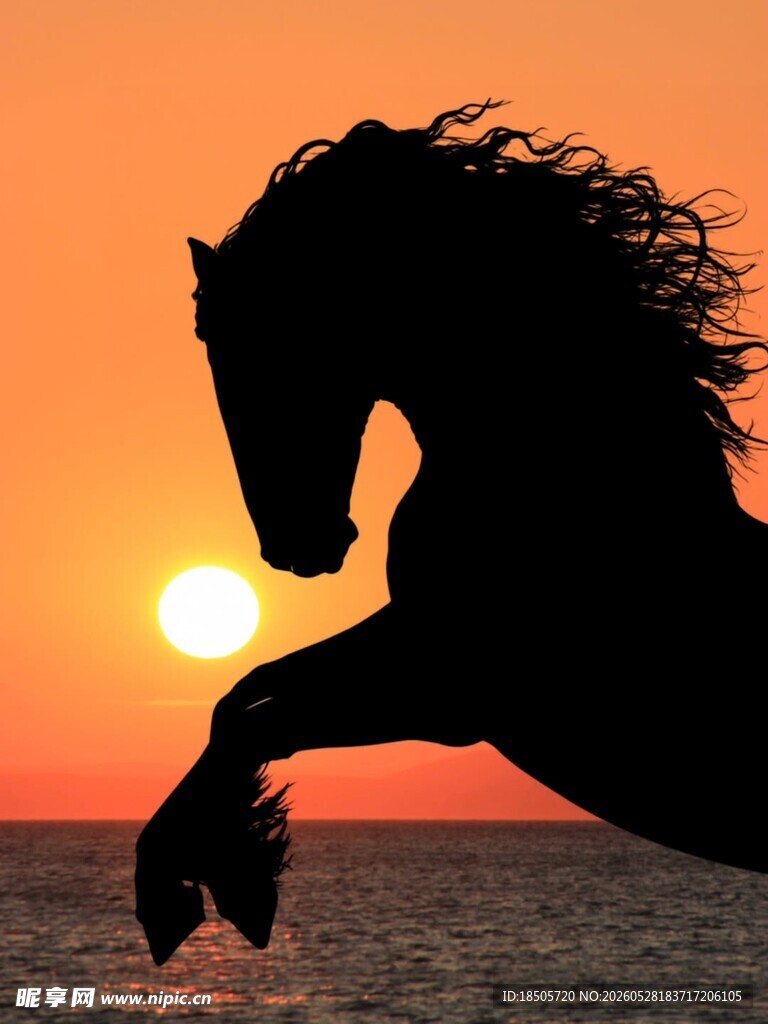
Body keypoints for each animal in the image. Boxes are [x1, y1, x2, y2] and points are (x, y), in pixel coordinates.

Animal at [135, 101, 768, 966]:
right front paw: (217, 875)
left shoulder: (447, 689)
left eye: (246, 349)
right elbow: (241, 696)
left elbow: (258, 717)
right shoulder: (415, 641)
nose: (296, 546)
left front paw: (203, 881)